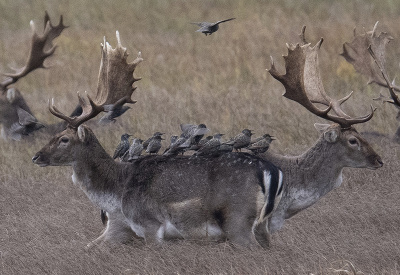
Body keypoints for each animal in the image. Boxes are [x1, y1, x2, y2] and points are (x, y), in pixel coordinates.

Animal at [32, 31, 282, 248]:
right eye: (54, 136)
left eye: (64, 139)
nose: (36, 156)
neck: (117, 192)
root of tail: (271, 170)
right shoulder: (118, 226)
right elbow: (87, 247)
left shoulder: (149, 225)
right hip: (263, 224)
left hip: (237, 219)